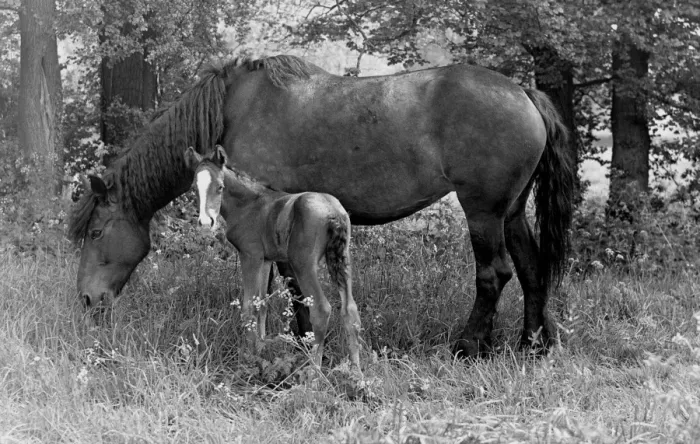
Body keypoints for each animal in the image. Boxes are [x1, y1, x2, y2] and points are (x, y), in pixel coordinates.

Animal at [183, 145, 360, 370]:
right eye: (194, 188)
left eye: (220, 187)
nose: (206, 223)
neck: (249, 204)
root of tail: (333, 212)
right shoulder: (265, 259)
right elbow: (262, 304)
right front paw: (261, 348)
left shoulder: (250, 255)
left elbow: (249, 306)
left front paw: (248, 357)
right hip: (341, 258)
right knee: (350, 310)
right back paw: (357, 372)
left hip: (303, 264)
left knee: (321, 309)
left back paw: (314, 371)